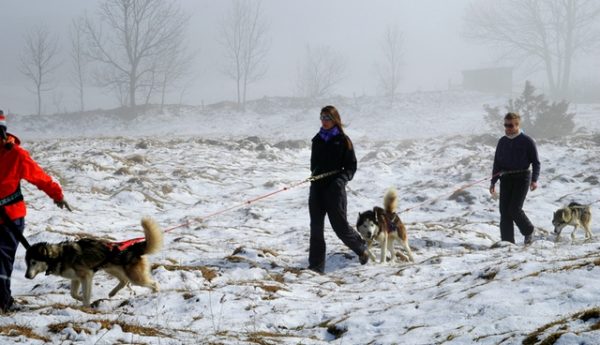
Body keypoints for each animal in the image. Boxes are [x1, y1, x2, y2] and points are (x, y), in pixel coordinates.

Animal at [24, 216, 163, 306]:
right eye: (27, 262)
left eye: (33, 262)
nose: (26, 276)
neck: (59, 256)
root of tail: (134, 247)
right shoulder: (76, 278)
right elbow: (73, 294)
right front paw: (80, 299)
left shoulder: (86, 276)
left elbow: (86, 295)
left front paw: (86, 306)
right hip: (111, 269)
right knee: (124, 281)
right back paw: (112, 293)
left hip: (134, 276)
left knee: (154, 284)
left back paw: (154, 295)